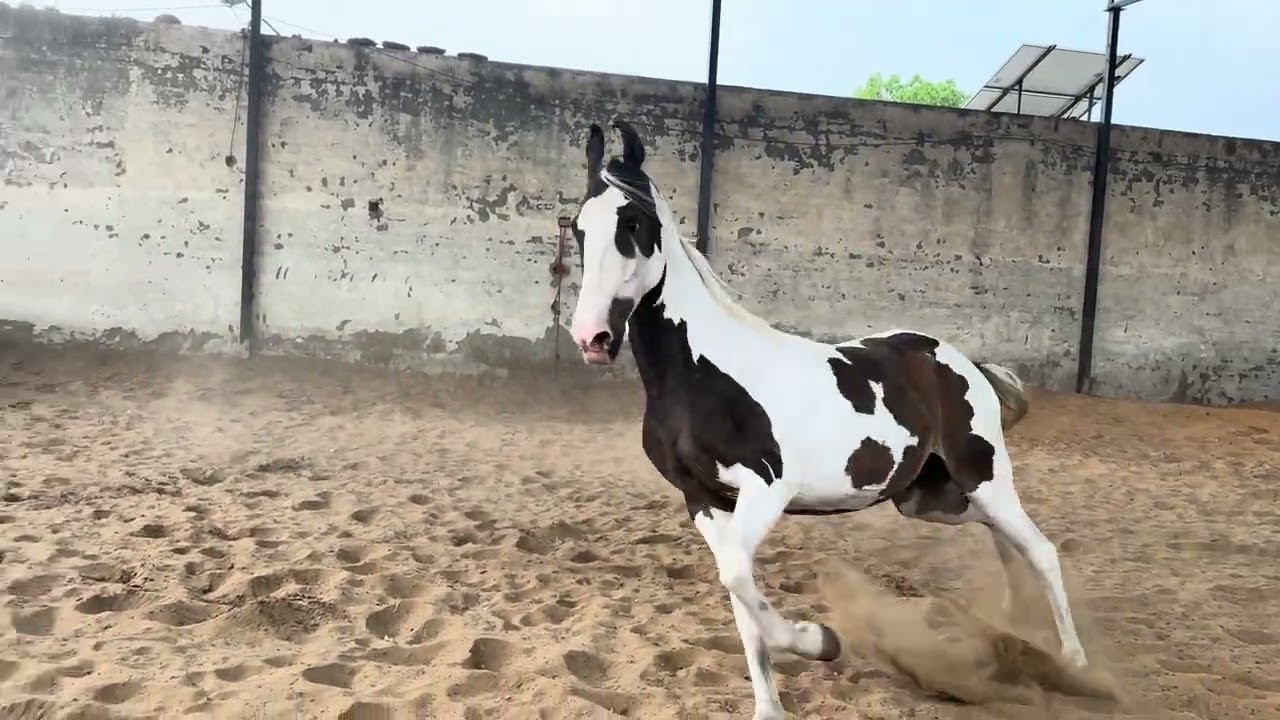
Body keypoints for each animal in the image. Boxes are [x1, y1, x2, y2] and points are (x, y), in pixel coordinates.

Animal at [565, 120, 1087, 719]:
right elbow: (738, 592)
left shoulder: (767, 487)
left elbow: (738, 576)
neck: (703, 373)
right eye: (579, 227)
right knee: (1002, 537)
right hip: (929, 498)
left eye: (634, 222)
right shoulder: (703, 500)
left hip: (983, 474)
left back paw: (1075, 666)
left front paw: (821, 640)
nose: (592, 338)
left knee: (1041, 549)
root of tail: (963, 364)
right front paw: (770, 706)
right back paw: (1012, 623)